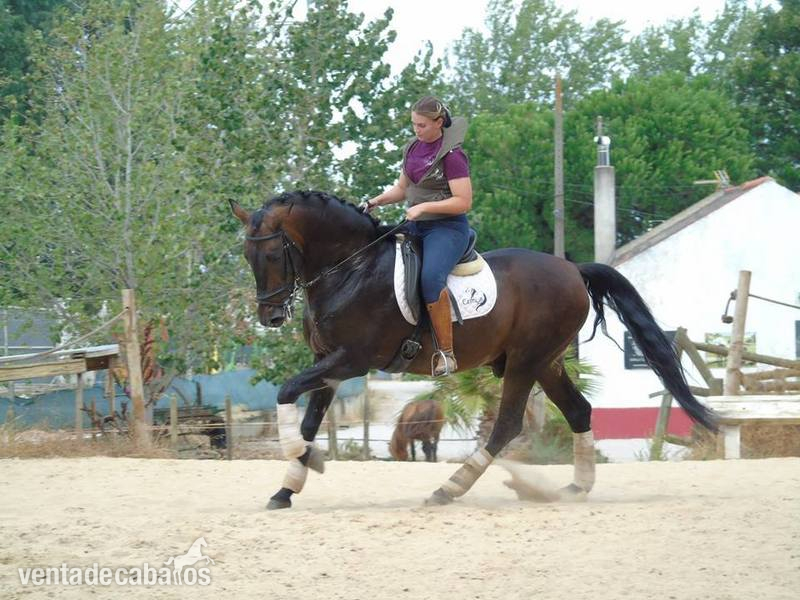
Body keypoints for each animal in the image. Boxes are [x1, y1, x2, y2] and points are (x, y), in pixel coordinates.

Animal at [229, 191, 717, 510]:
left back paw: (450, 488)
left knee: (507, 425)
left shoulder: (352, 359)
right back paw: (575, 488)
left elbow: (286, 392)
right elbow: (308, 418)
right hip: (547, 362)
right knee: (578, 411)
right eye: (247, 258)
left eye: (271, 255)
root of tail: (573, 269)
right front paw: (287, 486)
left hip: (525, 361)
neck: (351, 268)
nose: (270, 317)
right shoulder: (326, 364)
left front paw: (309, 461)